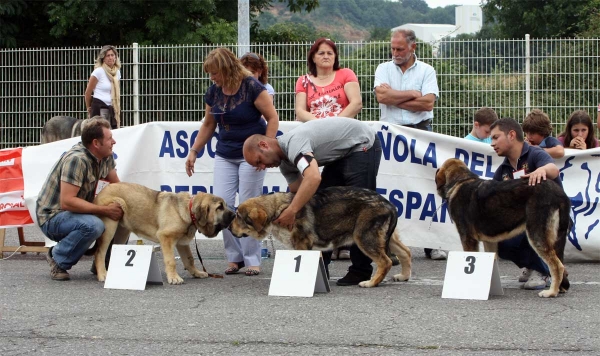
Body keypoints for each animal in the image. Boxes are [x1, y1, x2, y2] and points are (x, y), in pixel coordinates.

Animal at [93, 182, 234, 286]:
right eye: (219, 207)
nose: (234, 215)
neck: (188, 211)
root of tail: (101, 191)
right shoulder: (166, 237)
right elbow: (171, 260)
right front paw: (174, 278)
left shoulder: (182, 243)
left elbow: (189, 259)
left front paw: (196, 273)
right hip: (111, 223)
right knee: (100, 252)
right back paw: (103, 274)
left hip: (122, 231)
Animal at [230, 186, 412, 290]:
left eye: (238, 216)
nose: (229, 227)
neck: (278, 210)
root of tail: (389, 204)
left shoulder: (302, 245)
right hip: (388, 238)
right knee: (406, 252)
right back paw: (403, 276)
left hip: (365, 237)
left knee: (385, 262)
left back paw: (371, 283)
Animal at [434, 159, 568, 298]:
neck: (460, 181)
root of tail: (559, 193)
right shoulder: (489, 241)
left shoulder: (468, 238)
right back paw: (560, 288)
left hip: (536, 235)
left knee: (557, 266)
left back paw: (551, 292)